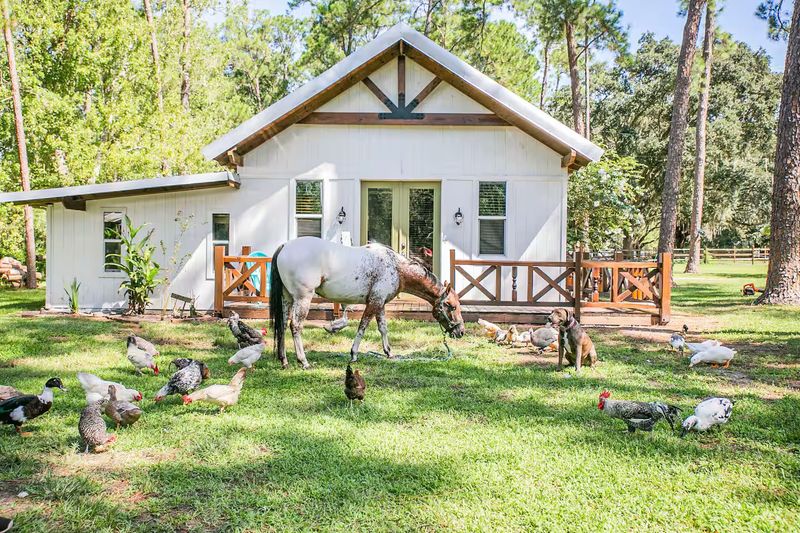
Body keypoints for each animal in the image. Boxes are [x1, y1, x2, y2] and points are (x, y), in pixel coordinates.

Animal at [269, 237, 465, 369]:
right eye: (452, 306)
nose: (461, 331)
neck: (395, 267)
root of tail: (285, 246)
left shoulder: (380, 304)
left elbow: (383, 328)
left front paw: (389, 353)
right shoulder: (374, 302)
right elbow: (362, 327)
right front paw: (354, 354)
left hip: (287, 299)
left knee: (283, 325)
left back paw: (284, 360)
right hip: (303, 298)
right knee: (295, 326)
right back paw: (304, 361)